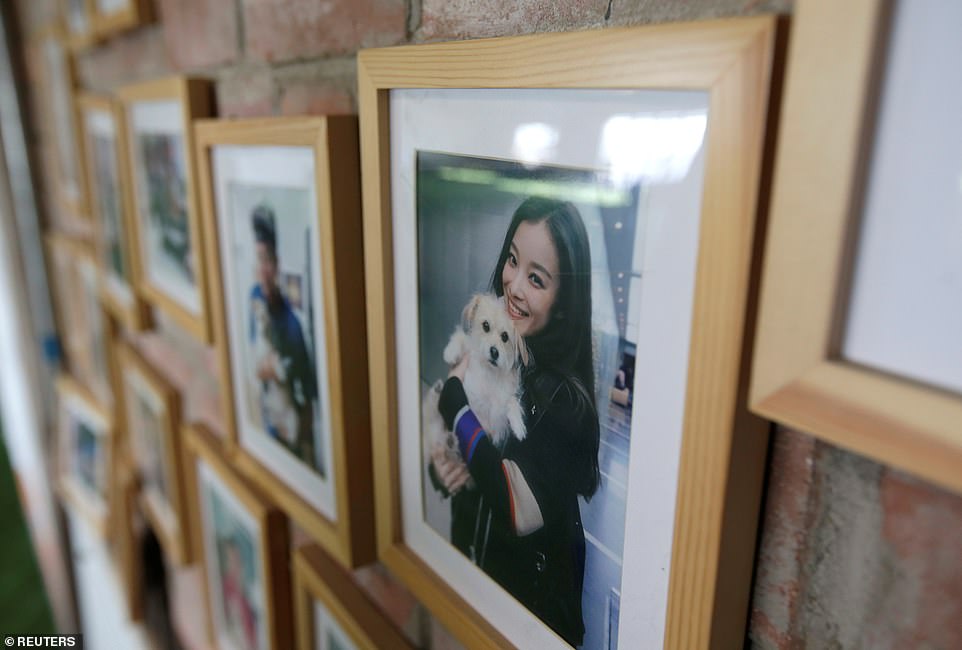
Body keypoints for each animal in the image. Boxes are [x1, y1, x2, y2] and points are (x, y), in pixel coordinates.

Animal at [420, 292, 524, 488]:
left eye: (505, 337)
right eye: (485, 326)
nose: (494, 352)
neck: (487, 370)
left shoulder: (496, 415)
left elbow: (511, 401)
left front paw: (519, 425)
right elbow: (461, 338)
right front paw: (450, 352)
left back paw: (451, 441)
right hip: (434, 423)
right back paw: (437, 392)